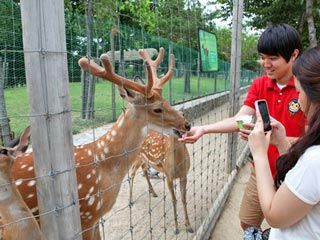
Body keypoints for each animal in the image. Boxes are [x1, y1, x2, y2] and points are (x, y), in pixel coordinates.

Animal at [9, 47, 190, 240]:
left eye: (167, 101)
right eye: (157, 109)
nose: (187, 125)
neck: (104, 168)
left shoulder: (95, 218)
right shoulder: (87, 214)